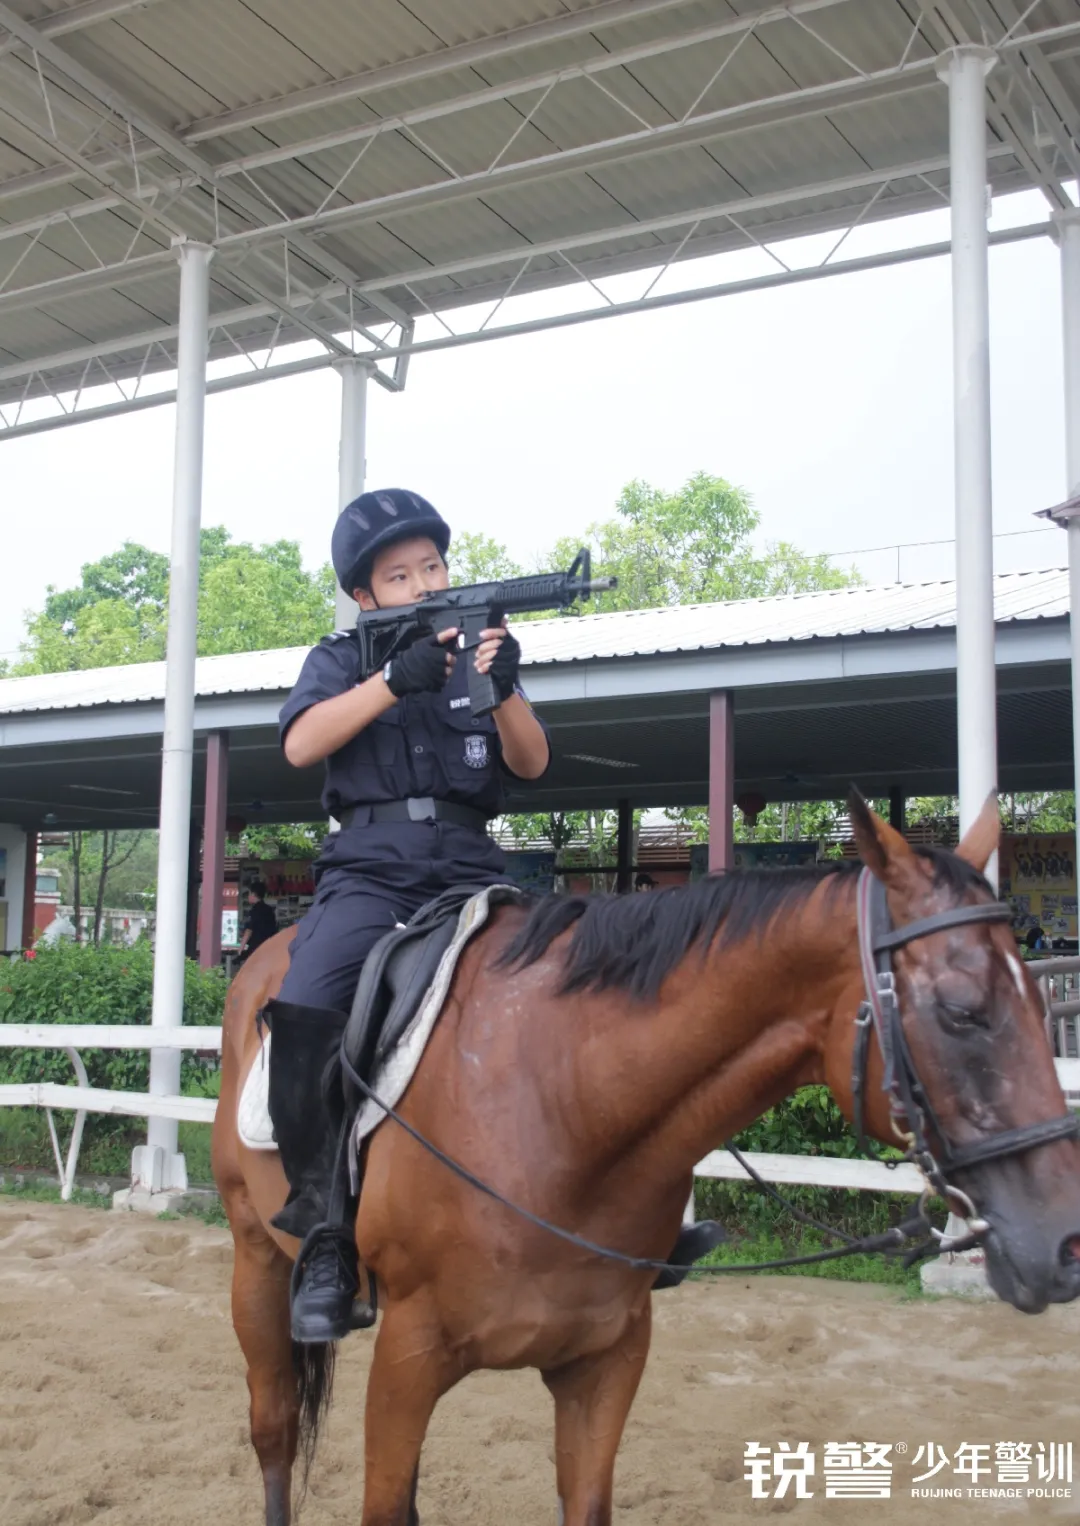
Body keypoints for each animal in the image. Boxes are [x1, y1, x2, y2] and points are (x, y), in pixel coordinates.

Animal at [208, 799, 1080, 1526]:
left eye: (1040, 1000)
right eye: (962, 1009)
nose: (1065, 1246)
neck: (562, 1108)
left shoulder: (607, 1359)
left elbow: (583, 1501)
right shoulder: (409, 1357)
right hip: (258, 1258)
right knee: (274, 1431)